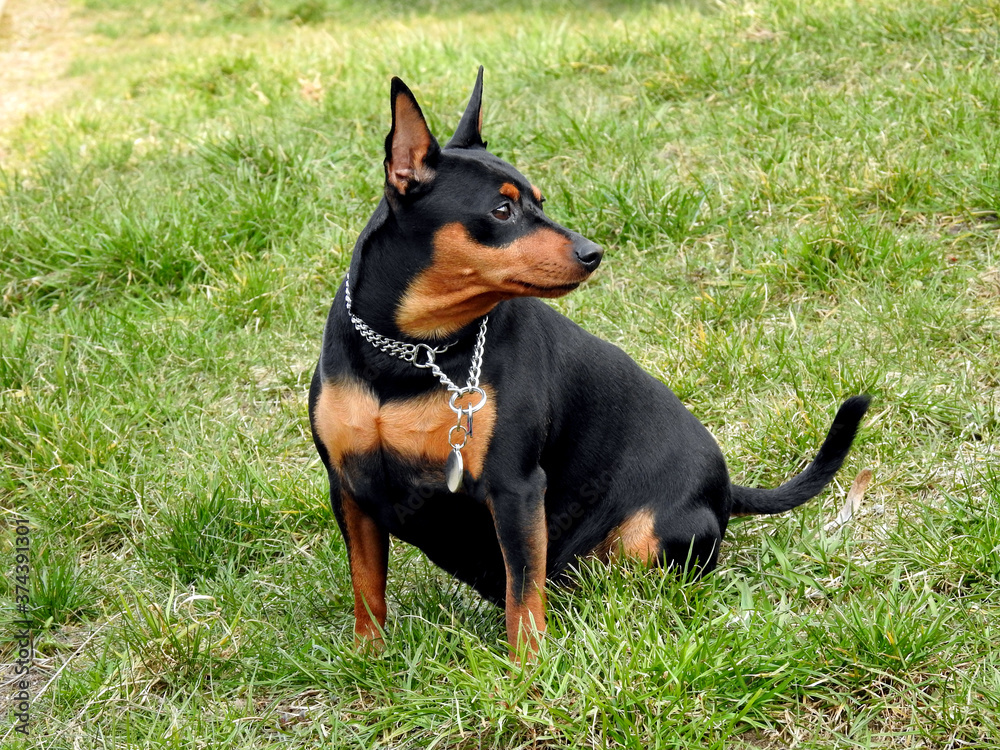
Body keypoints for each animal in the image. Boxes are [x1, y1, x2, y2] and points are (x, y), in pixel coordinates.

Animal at [308, 67, 872, 660]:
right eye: (502, 210)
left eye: (540, 200)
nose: (592, 252)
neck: (413, 352)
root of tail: (724, 487)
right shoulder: (350, 489)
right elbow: (367, 585)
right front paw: (368, 657)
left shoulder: (516, 488)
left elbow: (523, 592)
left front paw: (527, 667)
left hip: (649, 538)